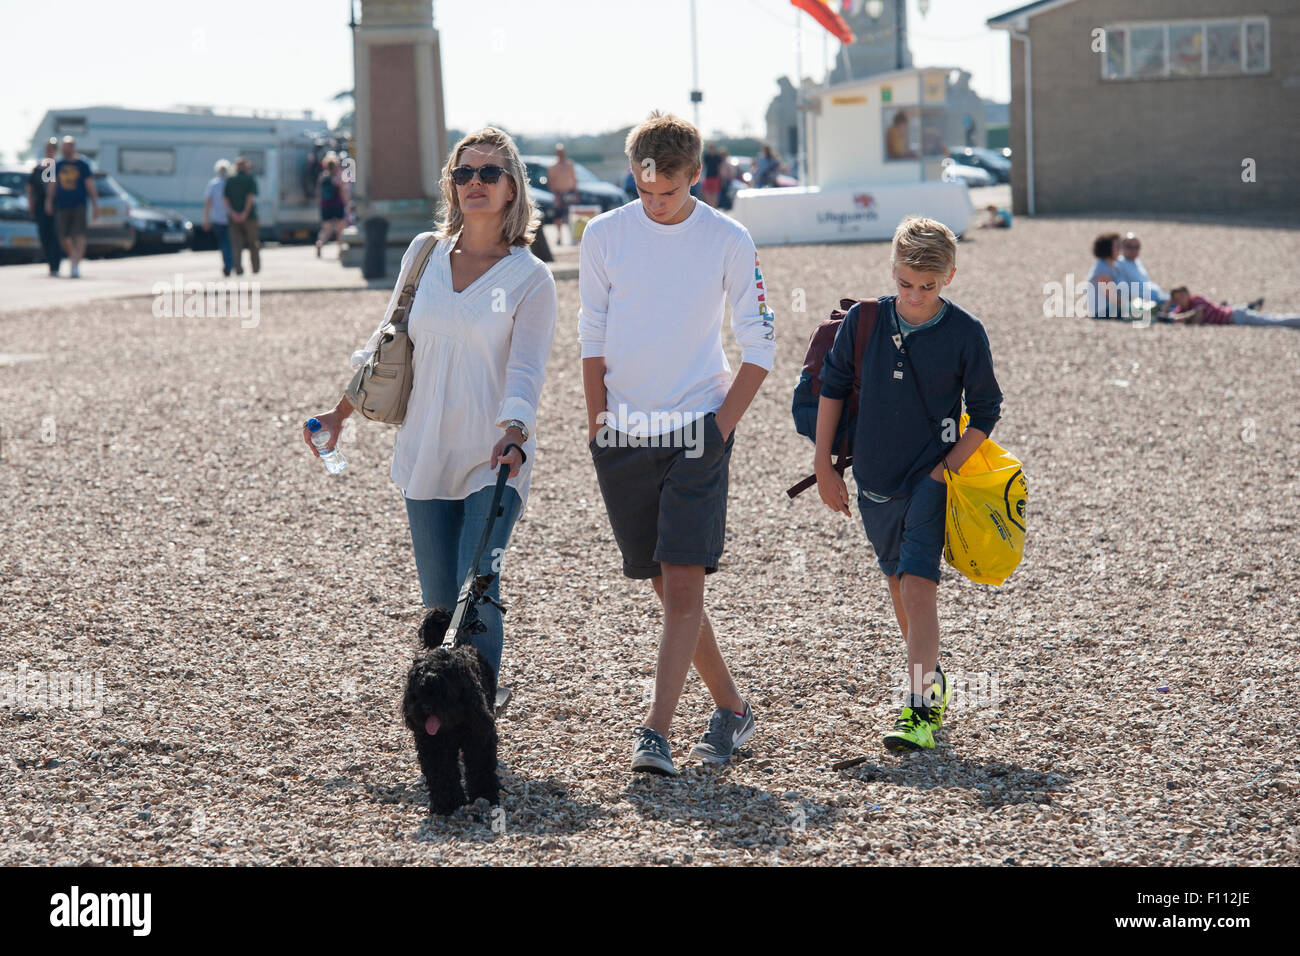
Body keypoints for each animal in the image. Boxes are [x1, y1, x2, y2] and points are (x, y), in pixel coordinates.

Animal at [400, 606, 496, 816]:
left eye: (443, 692)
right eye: (417, 692)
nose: (426, 707)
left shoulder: (479, 737)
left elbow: (481, 767)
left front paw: (485, 796)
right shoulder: (433, 745)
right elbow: (441, 774)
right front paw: (446, 804)